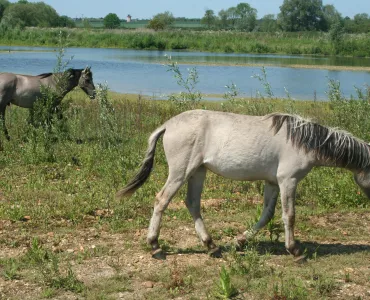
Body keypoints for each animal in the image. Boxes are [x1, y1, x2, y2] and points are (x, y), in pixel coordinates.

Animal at [117, 109, 370, 260]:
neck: (303, 141)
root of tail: (168, 125)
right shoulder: (288, 181)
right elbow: (289, 215)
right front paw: (295, 250)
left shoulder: (273, 182)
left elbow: (267, 215)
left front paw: (240, 241)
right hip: (181, 171)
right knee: (162, 200)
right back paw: (155, 246)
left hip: (197, 172)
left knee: (192, 204)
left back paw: (212, 246)